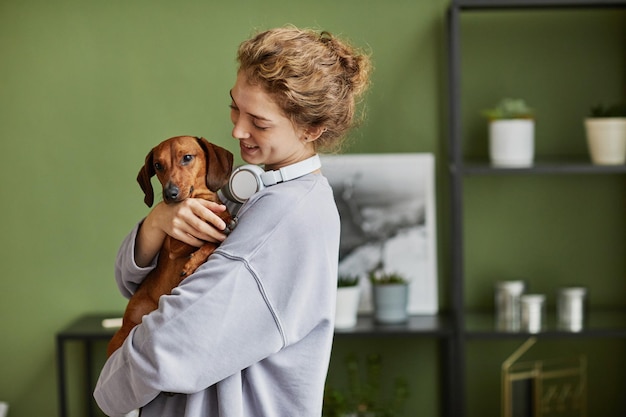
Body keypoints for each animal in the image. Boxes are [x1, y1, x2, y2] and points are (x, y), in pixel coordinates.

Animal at [107, 135, 234, 356]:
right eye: (158, 165)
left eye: (187, 157)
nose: (170, 194)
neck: (197, 199)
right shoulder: (175, 242)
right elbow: (212, 236)